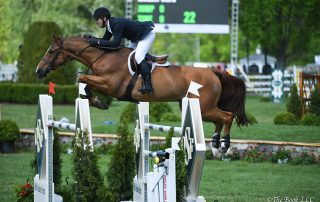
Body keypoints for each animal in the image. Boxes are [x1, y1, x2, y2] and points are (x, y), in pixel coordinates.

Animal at [35, 35, 250, 152]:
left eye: (51, 51)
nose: (39, 71)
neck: (103, 57)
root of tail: (214, 72)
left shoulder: (111, 86)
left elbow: (82, 79)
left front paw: (97, 101)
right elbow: (84, 82)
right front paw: (96, 101)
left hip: (203, 107)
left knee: (227, 116)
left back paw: (224, 144)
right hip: (194, 106)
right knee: (219, 119)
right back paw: (215, 142)